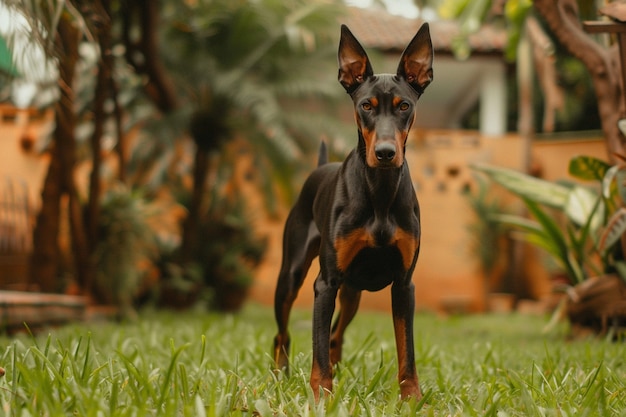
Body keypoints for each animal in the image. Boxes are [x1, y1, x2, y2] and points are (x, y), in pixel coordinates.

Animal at [270, 22, 432, 400]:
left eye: (404, 105)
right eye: (366, 106)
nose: (386, 153)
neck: (380, 193)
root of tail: (319, 168)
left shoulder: (404, 284)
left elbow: (407, 351)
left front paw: (412, 399)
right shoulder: (326, 284)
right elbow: (317, 351)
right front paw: (320, 398)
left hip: (353, 294)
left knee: (335, 336)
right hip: (291, 276)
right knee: (283, 333)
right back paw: (281, 374)